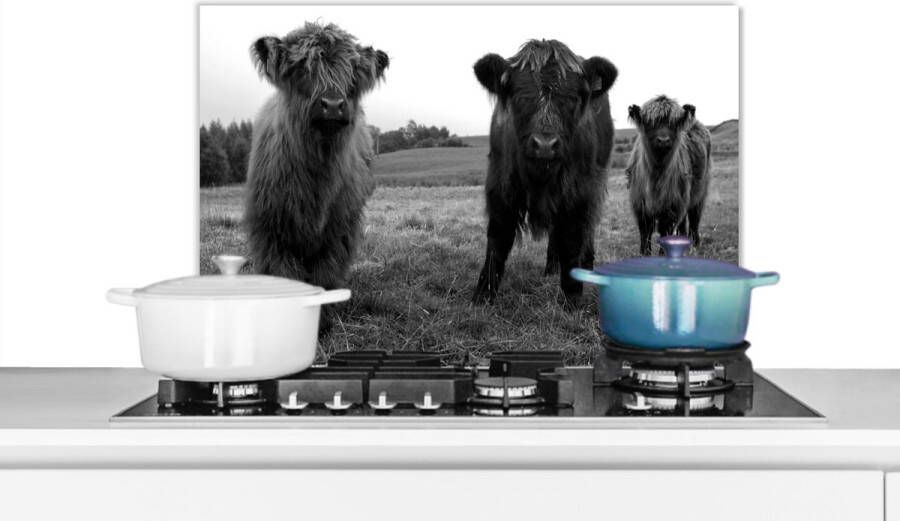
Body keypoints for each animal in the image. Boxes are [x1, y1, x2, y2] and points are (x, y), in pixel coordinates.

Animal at [244, 22, 388, 289]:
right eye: (302, 68)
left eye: (351, 74)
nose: (332, 105)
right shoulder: (272, 232)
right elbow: (285, 274)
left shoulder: (338, 232)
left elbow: (325, 277)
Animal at [471, 39, 617, 306]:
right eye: (519, 96)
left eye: (572, 98)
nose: (545, 144)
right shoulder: (500, 186)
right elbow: (498, 238)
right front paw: (483, 294)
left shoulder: (579, 192)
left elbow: (572, 240)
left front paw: (572, 297)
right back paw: (551, 267)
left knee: (587, 227)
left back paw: (586, 265)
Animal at [626, 95, 711, 255]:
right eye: (650, 123)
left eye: (673, 124)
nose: (663, 140)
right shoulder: (639, 205)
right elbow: (645, 232)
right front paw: (644, 253)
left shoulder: (671, 207)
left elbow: (665, 231)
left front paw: (663, 254)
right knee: (683, 222)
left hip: (700, 192)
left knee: (694, 217)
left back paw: (695, 244)